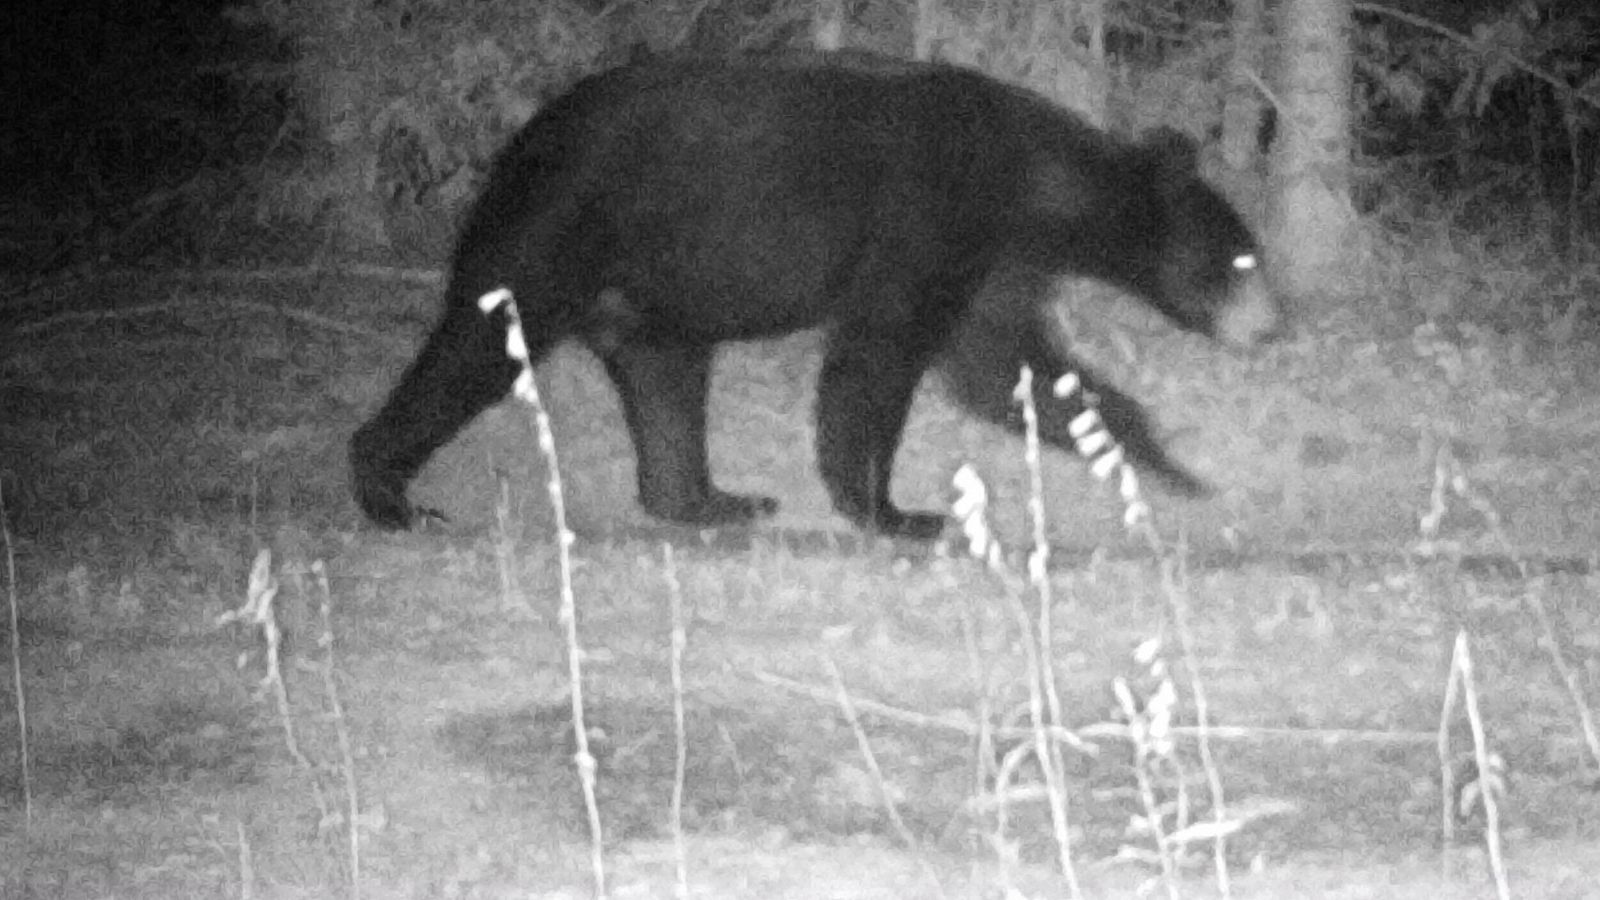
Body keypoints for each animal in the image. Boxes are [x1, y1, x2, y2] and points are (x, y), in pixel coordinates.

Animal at [349, 50, 1281, 541]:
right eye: (1242, 258)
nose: (1273, 327)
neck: (1028, 183)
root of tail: (517, 143)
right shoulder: (926, 221)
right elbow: (879, 359)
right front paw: (898, 511)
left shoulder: (990, 261)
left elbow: (1011, 365)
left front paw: (1169, 466)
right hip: (556, 231)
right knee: (476, 345)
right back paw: (391, 494)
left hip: (654, 291)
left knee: (666, 382)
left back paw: (713, 500)